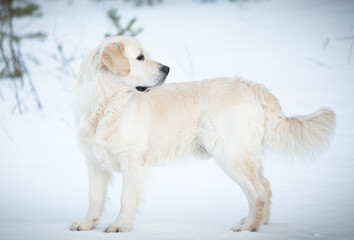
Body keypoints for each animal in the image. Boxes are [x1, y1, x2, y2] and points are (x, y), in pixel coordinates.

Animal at [70, 36, 336, 232]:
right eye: (140, 57)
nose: (167, 68)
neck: (106, 106)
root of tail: (249, 85)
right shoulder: (93, 162)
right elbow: (94, 198)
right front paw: (86, 225)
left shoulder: (133, 161)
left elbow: (127, 198)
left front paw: (120, 227)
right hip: (241, 156)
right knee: (266, 186)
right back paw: (257, 222)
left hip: (230, 155)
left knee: (258, 191)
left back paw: (248, 227)